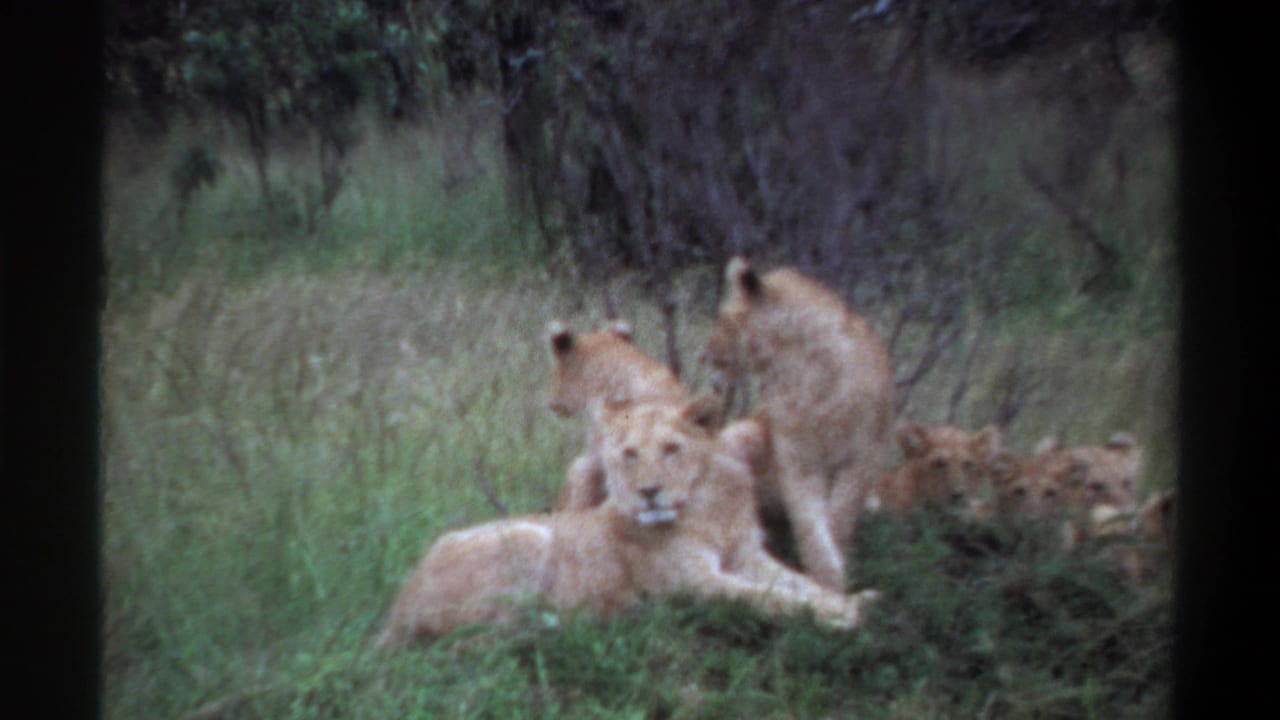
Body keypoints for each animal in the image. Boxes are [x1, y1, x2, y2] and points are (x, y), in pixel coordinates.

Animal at [376, 398, 877, 647]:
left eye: (672, 449)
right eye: (629, 454)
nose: (648, 492)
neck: (708, 507)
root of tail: (396, 608)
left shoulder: (747, 556)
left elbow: (800, 584)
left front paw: (855, 600)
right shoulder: (694, 583)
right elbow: (769, 599)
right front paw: (844, 617)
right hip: (529, 534)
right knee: (483, 634)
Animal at [702, 257, 895, 589]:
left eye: (722, 318)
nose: (705, 355)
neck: (802, 371)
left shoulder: (864, 456)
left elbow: (839, 517)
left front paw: (835, 572)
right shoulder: (797, 459)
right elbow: (809, 522)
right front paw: (826, 576)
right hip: (741, 436)